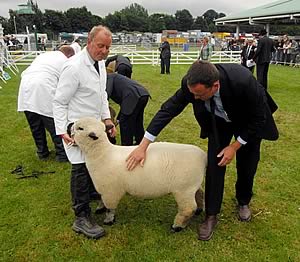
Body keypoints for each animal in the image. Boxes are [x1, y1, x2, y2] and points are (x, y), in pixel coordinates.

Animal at [72, 116, 207, 231]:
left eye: (80, 128)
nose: (69, 127)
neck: (103, 154)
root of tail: (203, 156)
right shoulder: (104, 188)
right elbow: (102, 200)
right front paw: (100, 208)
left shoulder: (110, 190)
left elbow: (110, 208)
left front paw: (108, 220)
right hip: (192, 185)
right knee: (200, 194)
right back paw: (199, 210)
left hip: (184, 189)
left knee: (188, 208)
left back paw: (177, 226)